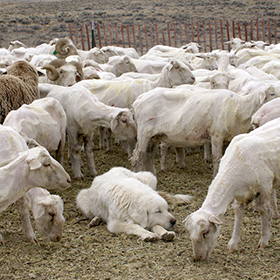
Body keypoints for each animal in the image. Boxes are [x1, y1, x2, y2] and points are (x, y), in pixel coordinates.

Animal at [131, 85, 276, 177]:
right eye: (272, 93)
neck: (240, 107)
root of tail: (138, 99)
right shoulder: (217, 135)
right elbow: (217, 157)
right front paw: (215, 175)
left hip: (155, 135)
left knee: (149, 154)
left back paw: (151, 174)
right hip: (144, 133)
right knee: (137, 156)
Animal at [184, 117, 280, 262]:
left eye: (205, 233)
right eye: (189, 233)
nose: (197, 258)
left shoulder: (265, 186)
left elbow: (263, 211)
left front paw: (263, 241)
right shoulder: (240, 195)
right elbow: (238, 214)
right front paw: (232, 244)